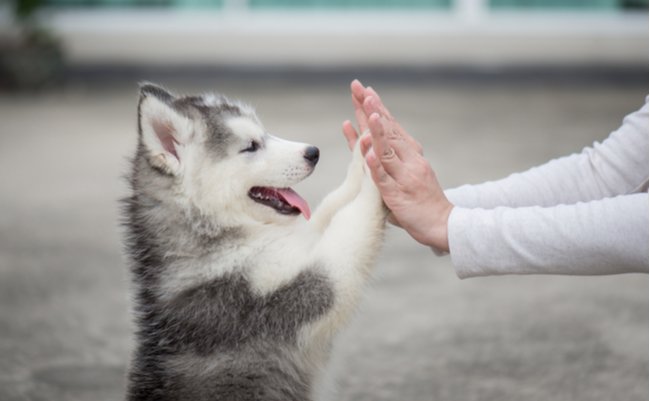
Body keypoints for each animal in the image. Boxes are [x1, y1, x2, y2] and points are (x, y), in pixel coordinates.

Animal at [121, 83, 384, 398]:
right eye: (251, 146)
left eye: (264, 133)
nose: (313, 152)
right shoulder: (291, 293)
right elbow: (350, 223)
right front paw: (378, 169)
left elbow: (332, 206)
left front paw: (364, 150)